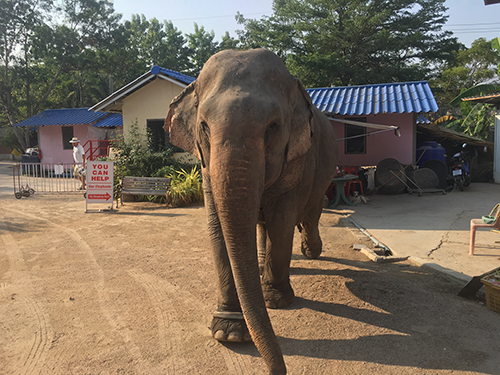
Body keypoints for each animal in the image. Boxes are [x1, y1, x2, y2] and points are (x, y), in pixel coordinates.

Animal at [166, 48, 338, 374]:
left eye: (273, 127)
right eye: (204, 126)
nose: (277, 370)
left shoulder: (298, 162)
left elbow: (282, 222)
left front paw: (276, 301)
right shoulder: (206, 171)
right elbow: (219, 228)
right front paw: (229, 331)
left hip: (324, 170)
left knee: (311, 212)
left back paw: (311, 252)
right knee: (262, 224)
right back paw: (260, 268)